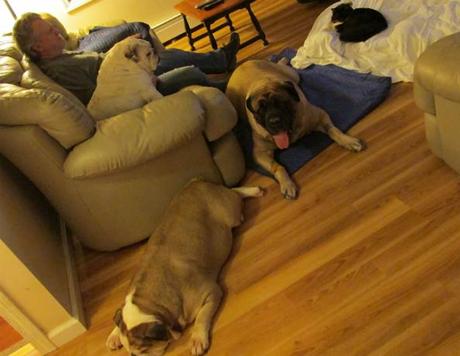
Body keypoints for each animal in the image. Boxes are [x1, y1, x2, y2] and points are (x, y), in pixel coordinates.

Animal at [105, 181, 262, 356]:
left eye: (143, 350)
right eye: (129, 351)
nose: (132, 355)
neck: (150, 303)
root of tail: (196, 182)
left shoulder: (211, 292)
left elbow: (202, 317)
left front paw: (197, 339)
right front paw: (114, 334)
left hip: (231, 213)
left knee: (235, 194)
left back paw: (254, 191)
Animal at [226, 60, 366, 200]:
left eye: (281, 103)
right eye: (261, 109)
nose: (274, 121)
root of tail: (244, 63)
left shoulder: (320, 115)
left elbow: (333, 130)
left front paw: (348, 141)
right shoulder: (260, 152)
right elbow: (278, 167)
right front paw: (287, 184)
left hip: (293, 75)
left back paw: (282, 60)